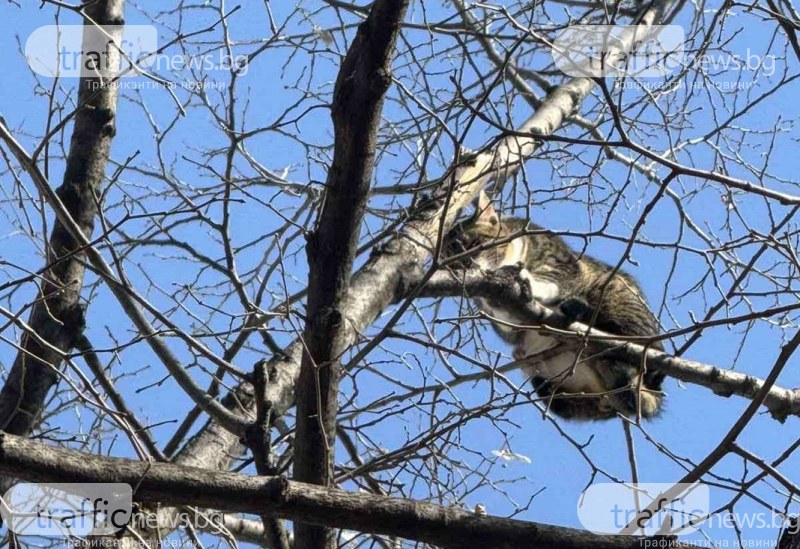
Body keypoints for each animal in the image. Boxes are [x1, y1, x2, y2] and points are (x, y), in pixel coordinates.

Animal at [444, 193, 664, 420]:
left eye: (475, 244)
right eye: (451, 263)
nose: (466, 265)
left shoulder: (565, 266)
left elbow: (551, 279)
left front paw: (525, 278)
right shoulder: (501, 319)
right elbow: (505, 321)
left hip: (615, 293)